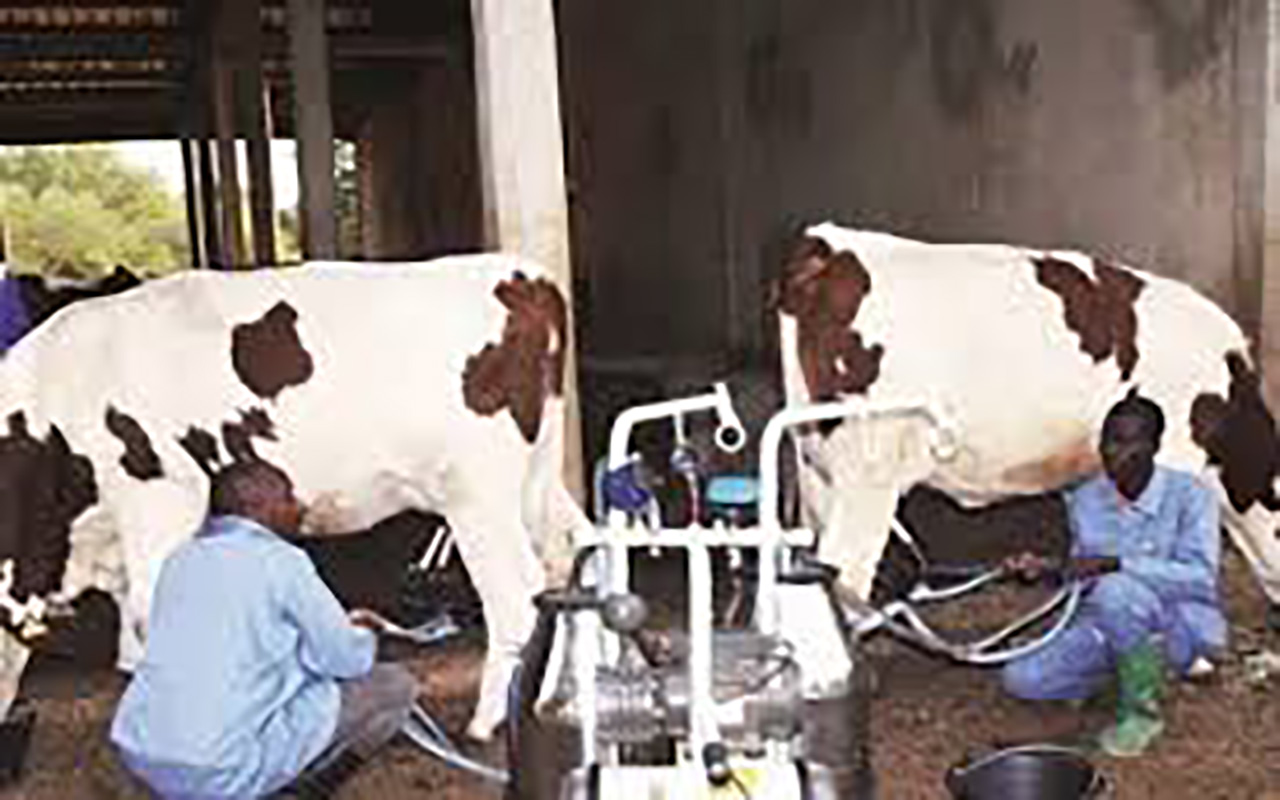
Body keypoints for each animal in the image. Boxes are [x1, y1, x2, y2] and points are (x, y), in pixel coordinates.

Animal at [0, 253, 591, 741]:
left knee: (517, 591)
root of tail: (525, 277)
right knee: (569, 554)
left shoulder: (160, 495)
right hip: (534, 481)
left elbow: (151, 614)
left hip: (476, 493)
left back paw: (488, 722)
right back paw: (558, 701)